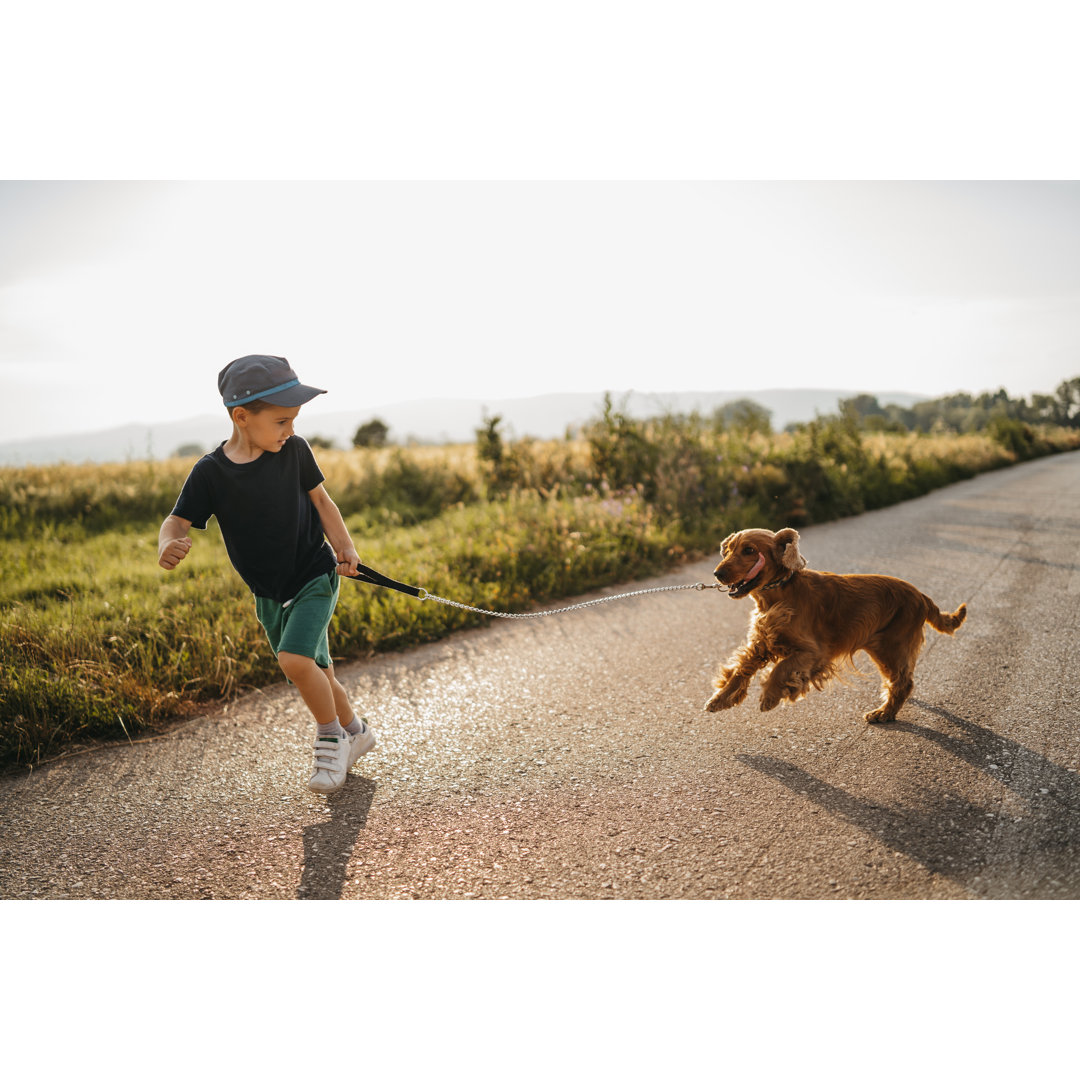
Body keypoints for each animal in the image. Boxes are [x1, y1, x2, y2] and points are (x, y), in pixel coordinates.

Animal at [704, 527, 967, 721]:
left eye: (749, 550)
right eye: (727, 551)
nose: (717, 573)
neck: (780, 594)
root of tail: (922, 596)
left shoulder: (813, 652)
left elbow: (781, 669)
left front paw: (769, 696)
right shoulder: (763, 642)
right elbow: (740, 669)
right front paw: (720, 698)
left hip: (892, 646)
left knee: (904, 682)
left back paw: (883, 713)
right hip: (882, 647)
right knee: (899, 681)